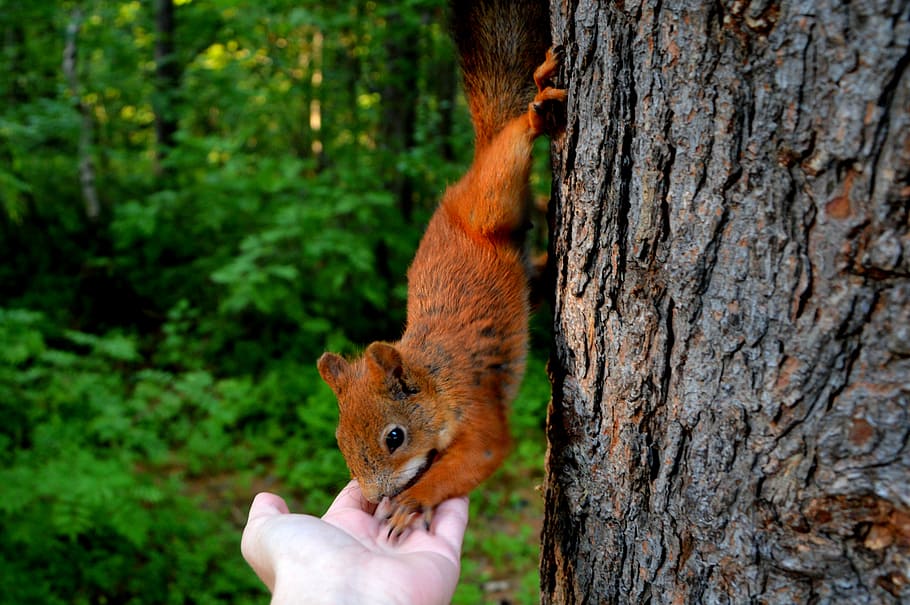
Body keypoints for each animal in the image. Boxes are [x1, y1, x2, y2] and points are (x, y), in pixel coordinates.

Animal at [317, 0, 565, 536]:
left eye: (394, 437)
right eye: (340, 440)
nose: (374, 497)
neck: (431, 378)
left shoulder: (472, 403)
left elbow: (483, 452)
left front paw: (412, 502)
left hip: (488, 201)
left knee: (509, 150)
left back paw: (536, 105)